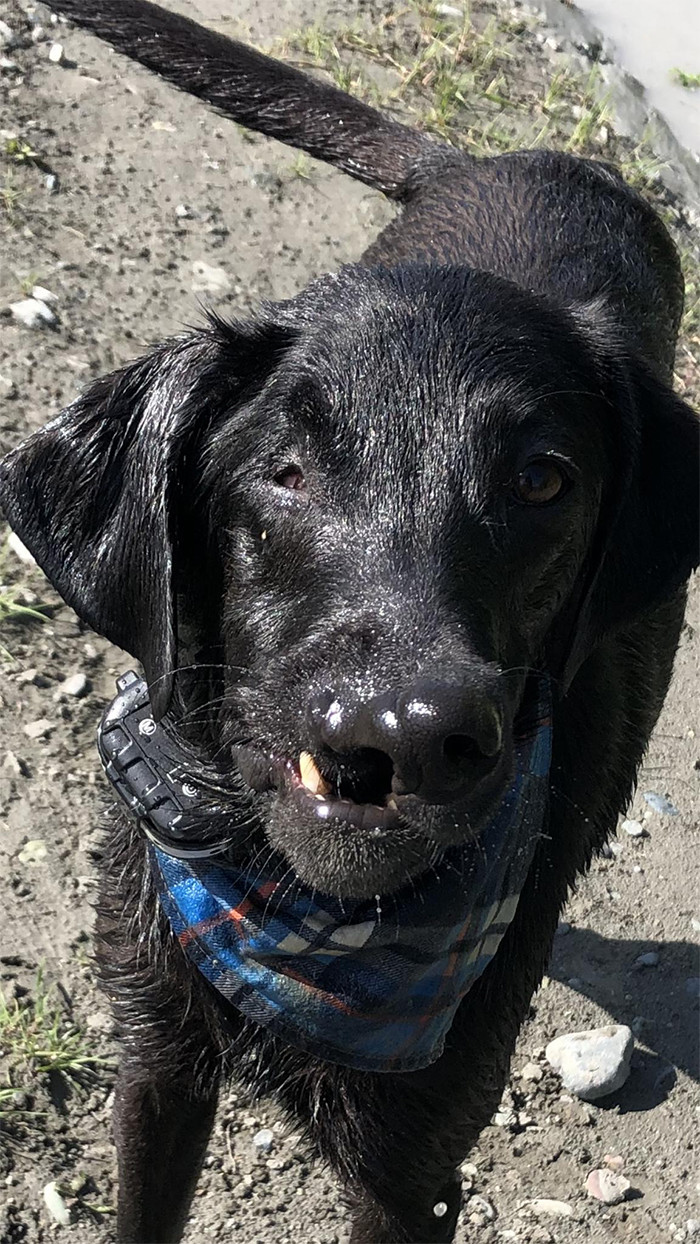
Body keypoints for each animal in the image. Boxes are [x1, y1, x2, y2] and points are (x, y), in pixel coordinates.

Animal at [0, 2, 696, 1244]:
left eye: (542, 481)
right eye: (283, 471)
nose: (407, 735)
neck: (305, 918)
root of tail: (534, 158)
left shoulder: (411, 1175)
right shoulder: (156, 1065)